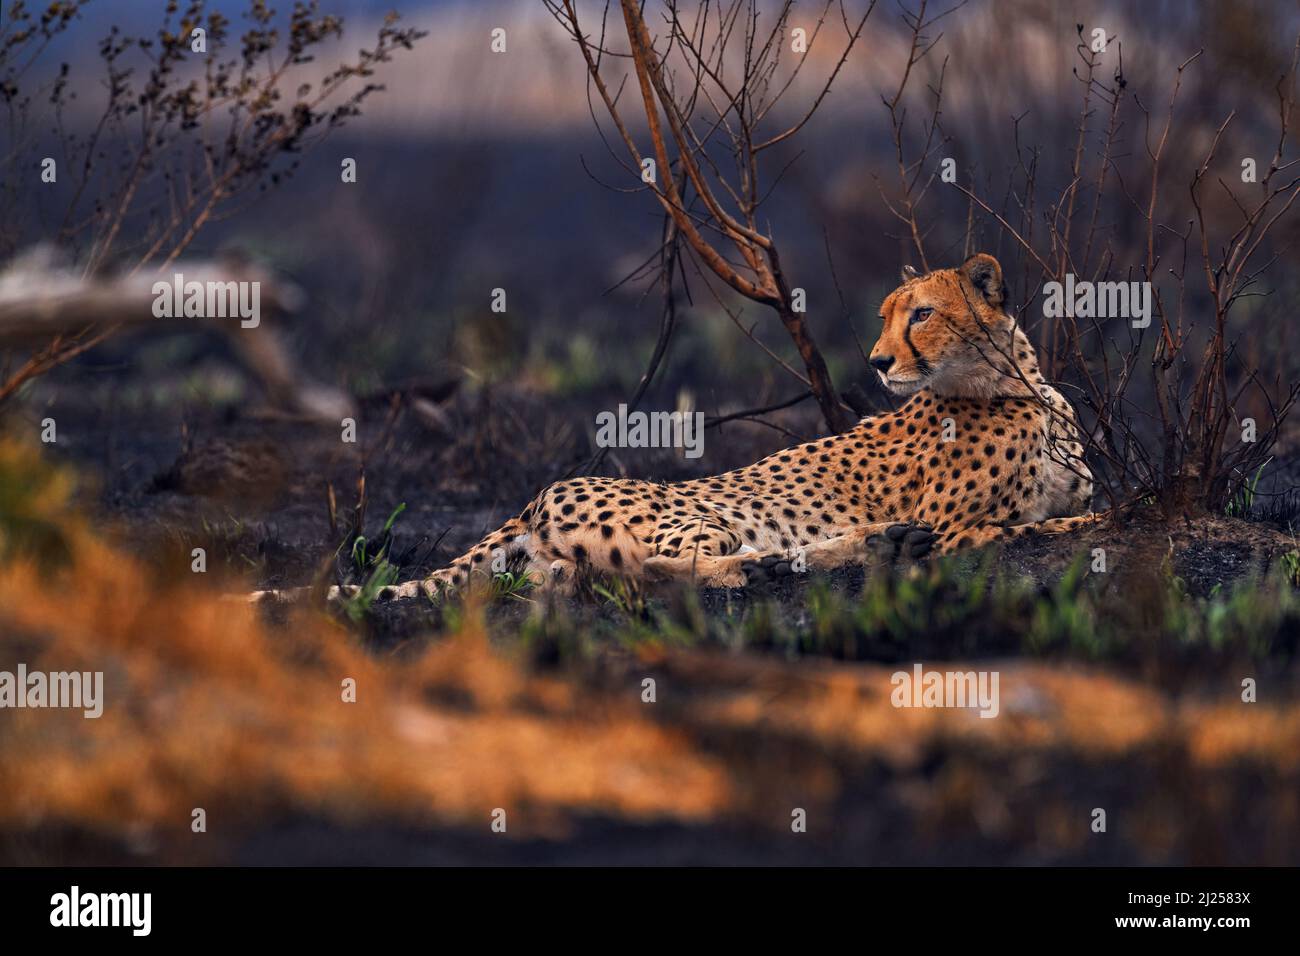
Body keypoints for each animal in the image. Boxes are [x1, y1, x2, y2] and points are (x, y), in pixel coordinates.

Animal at [248, 252, 1092, 598]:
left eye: (922, 313)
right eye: (887, 315)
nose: (879, 362)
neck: (1013, 385)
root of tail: (534, 498)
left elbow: (1065, 514)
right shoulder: (960, 525)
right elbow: (1039, 526)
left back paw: (871, 547)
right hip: (696, 512)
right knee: (658, 568)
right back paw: (794, 564)